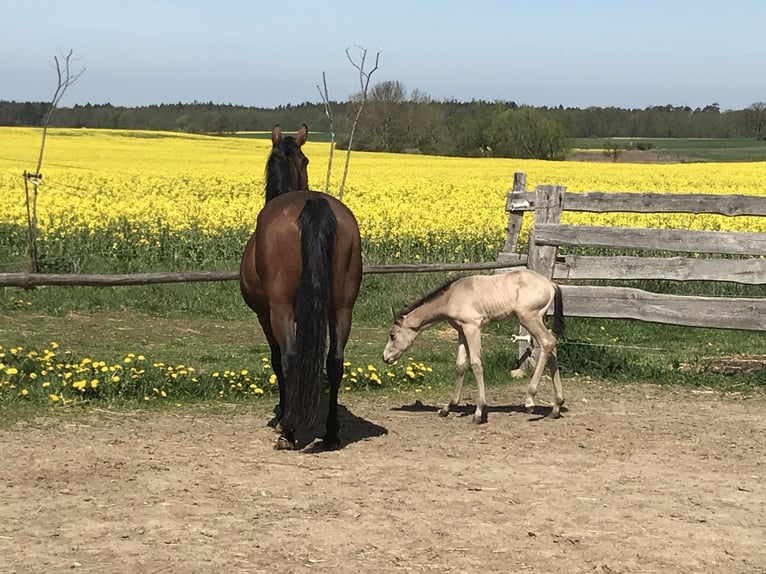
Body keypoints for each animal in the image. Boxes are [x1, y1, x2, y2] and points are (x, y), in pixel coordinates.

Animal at [240, 124, 363, 450]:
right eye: (306, 160)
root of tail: (313, 203)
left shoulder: (265, 314)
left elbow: (277, 361)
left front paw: (284, 415)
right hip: (342, 308)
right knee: (335, 361)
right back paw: (331, 433)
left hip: (281, 308)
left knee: (290, 358)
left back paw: (289, 431)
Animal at [382, 269, 565, 424]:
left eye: (392, 335)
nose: (385, 358)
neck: (451, 296)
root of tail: (550, 284)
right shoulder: (461, 331)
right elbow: (460, 365)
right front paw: (447, 408)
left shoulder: (472, 327)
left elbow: (476, 363)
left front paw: (478, 413)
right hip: (538, 320)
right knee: (552, 348)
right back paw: (556, 408)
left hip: (529, 318)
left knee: (548, 343)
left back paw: (529, 401)